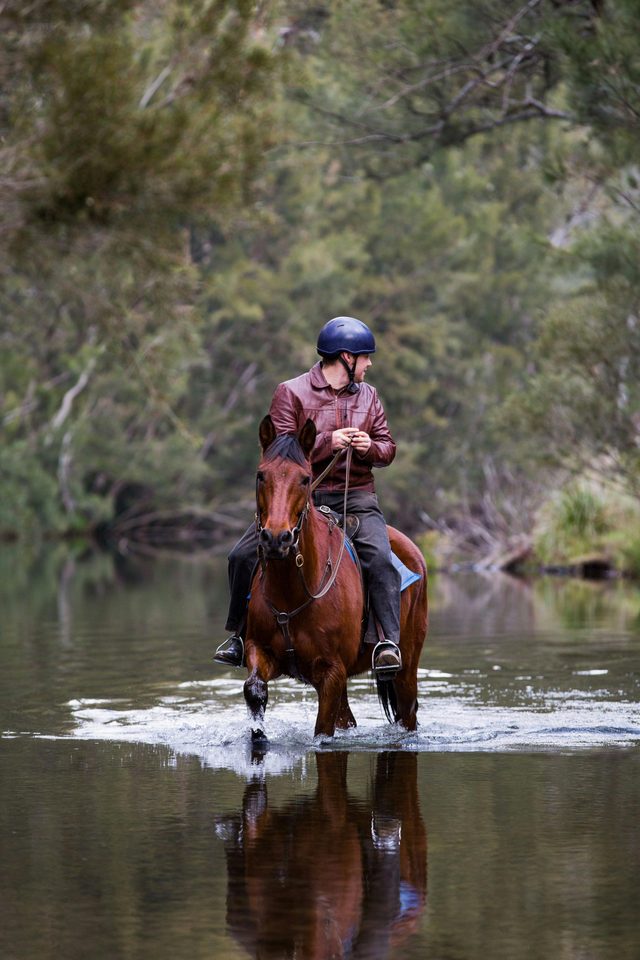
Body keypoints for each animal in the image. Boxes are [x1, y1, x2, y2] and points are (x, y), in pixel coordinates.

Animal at [242, 415, 428, 739]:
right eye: (261, 475)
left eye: (305, 478)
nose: (277, 538)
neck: (294, 590)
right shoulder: (259, 650)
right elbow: (254, 689)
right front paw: (259, 734)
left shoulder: (332, 673)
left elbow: (322, 732)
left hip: (406, 667)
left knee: (408, 713)